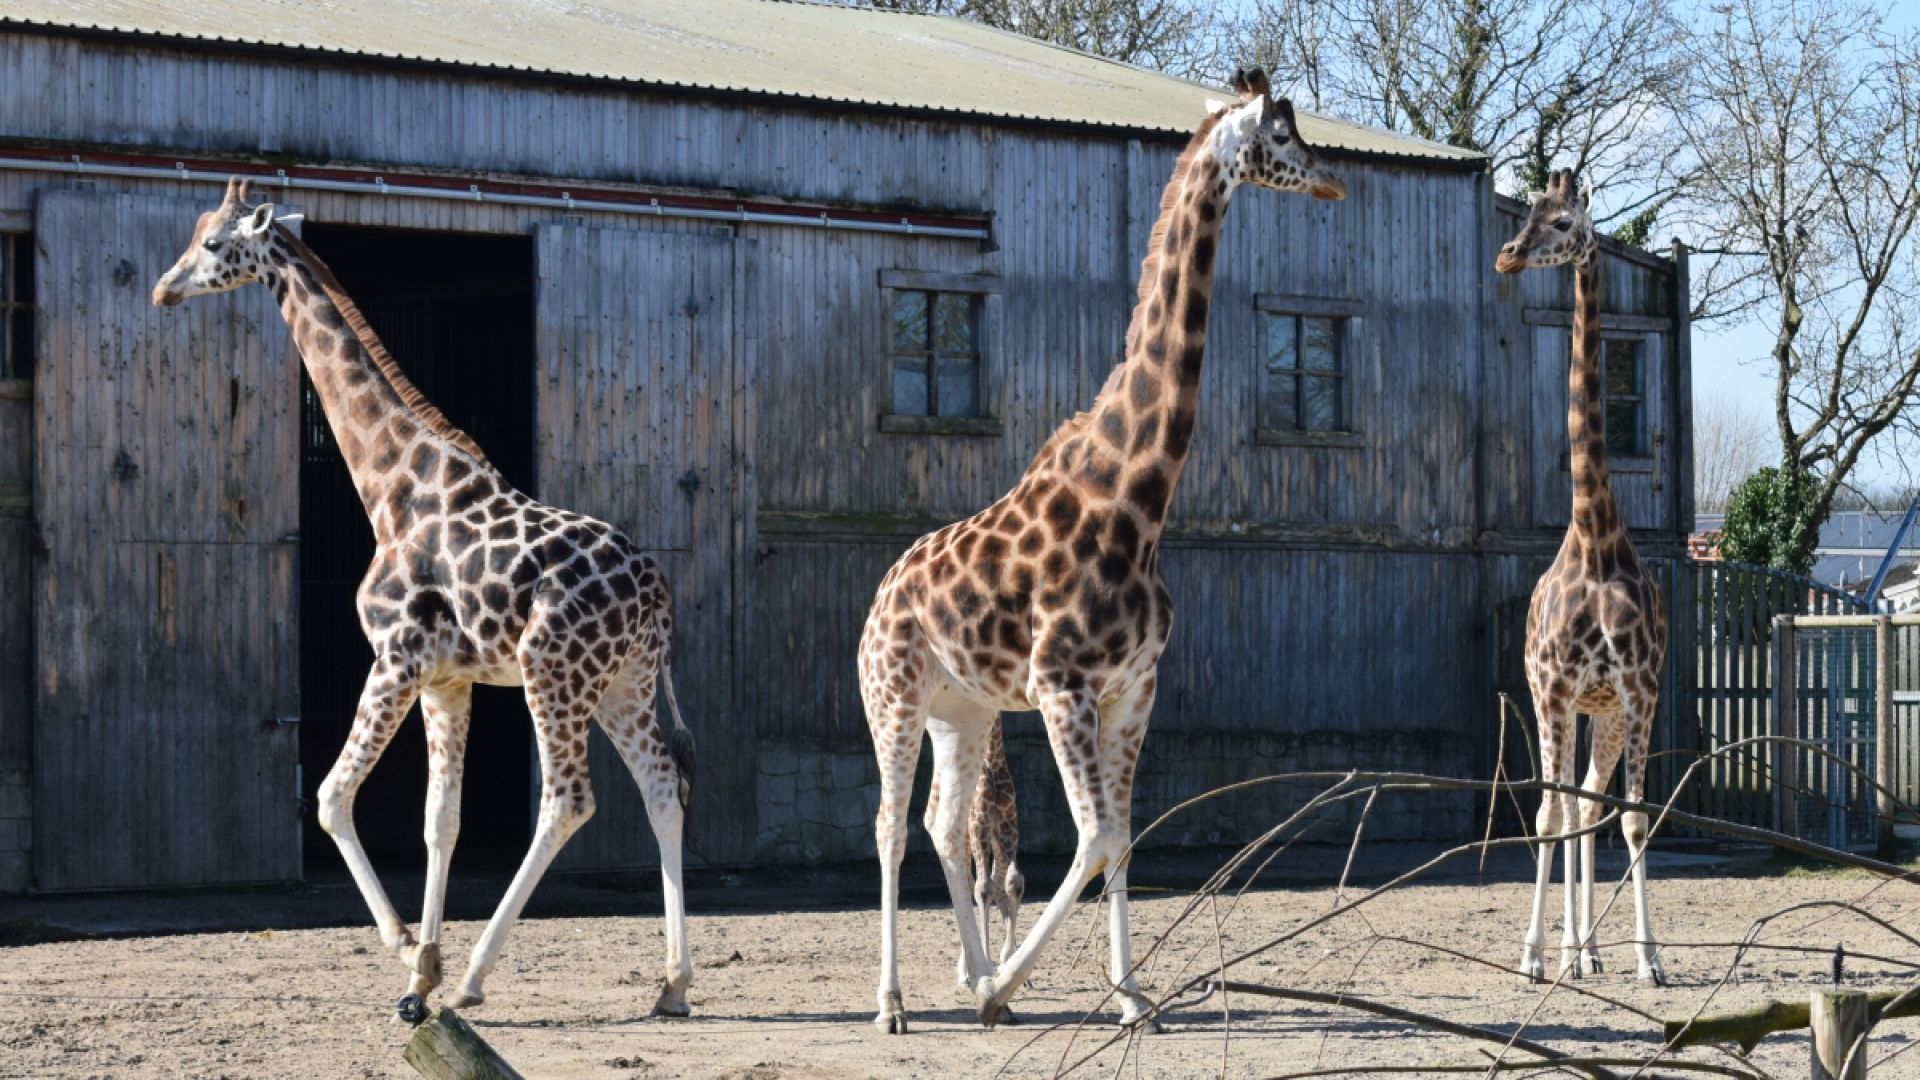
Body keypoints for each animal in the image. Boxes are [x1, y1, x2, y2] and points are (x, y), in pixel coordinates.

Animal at [151, 178, 699, 1016]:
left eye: (213, 244)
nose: (163, 288)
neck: (393, 489)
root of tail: (656, 595)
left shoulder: (395, 657)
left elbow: (331, 796)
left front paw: (412, 950)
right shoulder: (448, 679)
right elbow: (441, 820)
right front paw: (421, 971)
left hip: (553, 673)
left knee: (568, 798)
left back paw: (476, 979)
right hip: (624, 683)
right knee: (663, 788)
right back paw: (671, 983)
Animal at [859, 68, 1346, 1034]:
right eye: (1281, 133)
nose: (1332, 182)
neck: (1137, 497)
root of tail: (881, 593)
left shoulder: (1135, 687)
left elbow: (1123, 839)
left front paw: (1128, 998)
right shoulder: (1063, 684)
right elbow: (1090, 838)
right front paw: (1017, 987)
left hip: (962, 710)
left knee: (942, 825)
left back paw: (975, 979)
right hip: (892, 696)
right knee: (892, 827)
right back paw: (897, 1003)